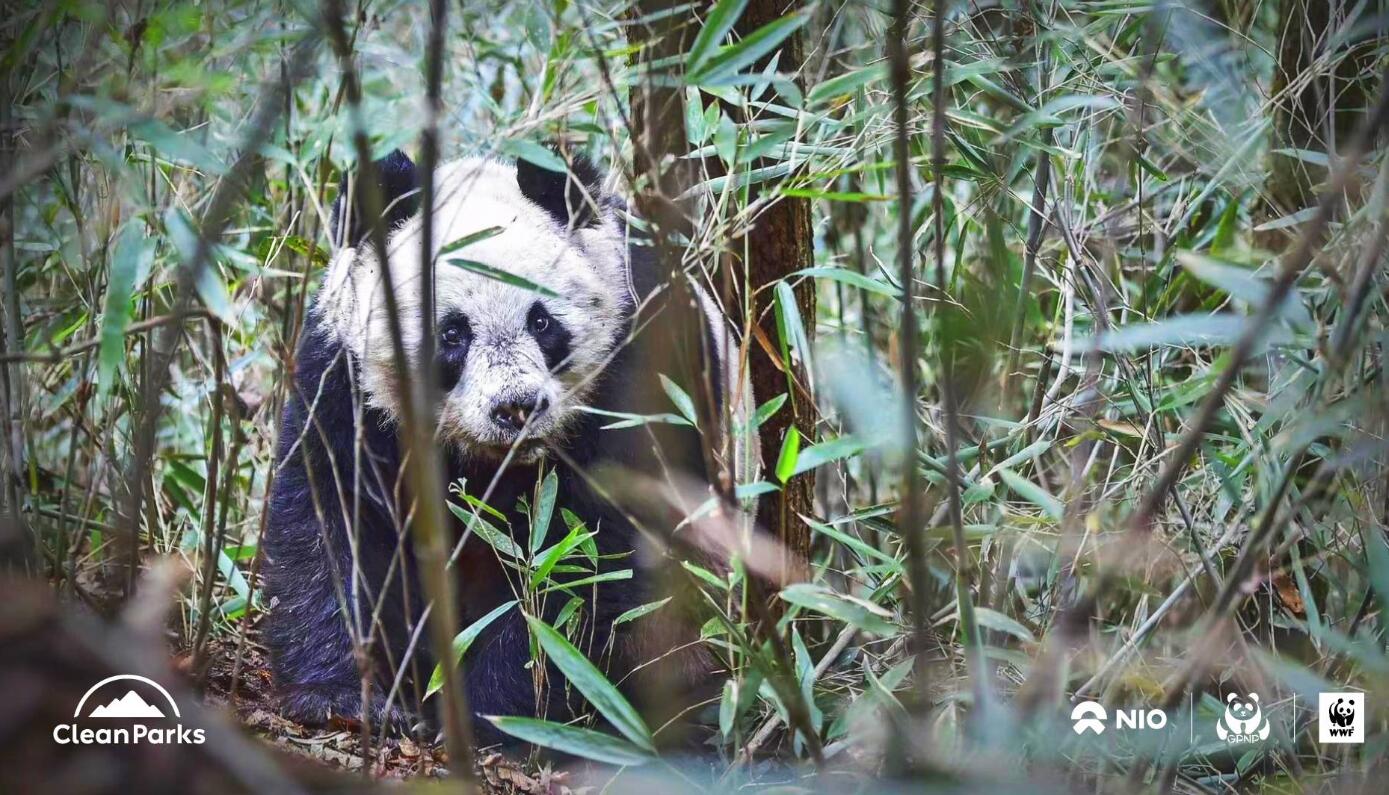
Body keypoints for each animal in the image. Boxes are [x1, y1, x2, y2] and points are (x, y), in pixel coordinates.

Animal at [263, 149, 740, 745]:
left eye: (542, 321)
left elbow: (581, 559)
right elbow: (332, 515)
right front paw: (343, 695)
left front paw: (492, 717)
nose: (517, 408)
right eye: (452, 333)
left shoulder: (635, 367)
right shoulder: (345, 377)